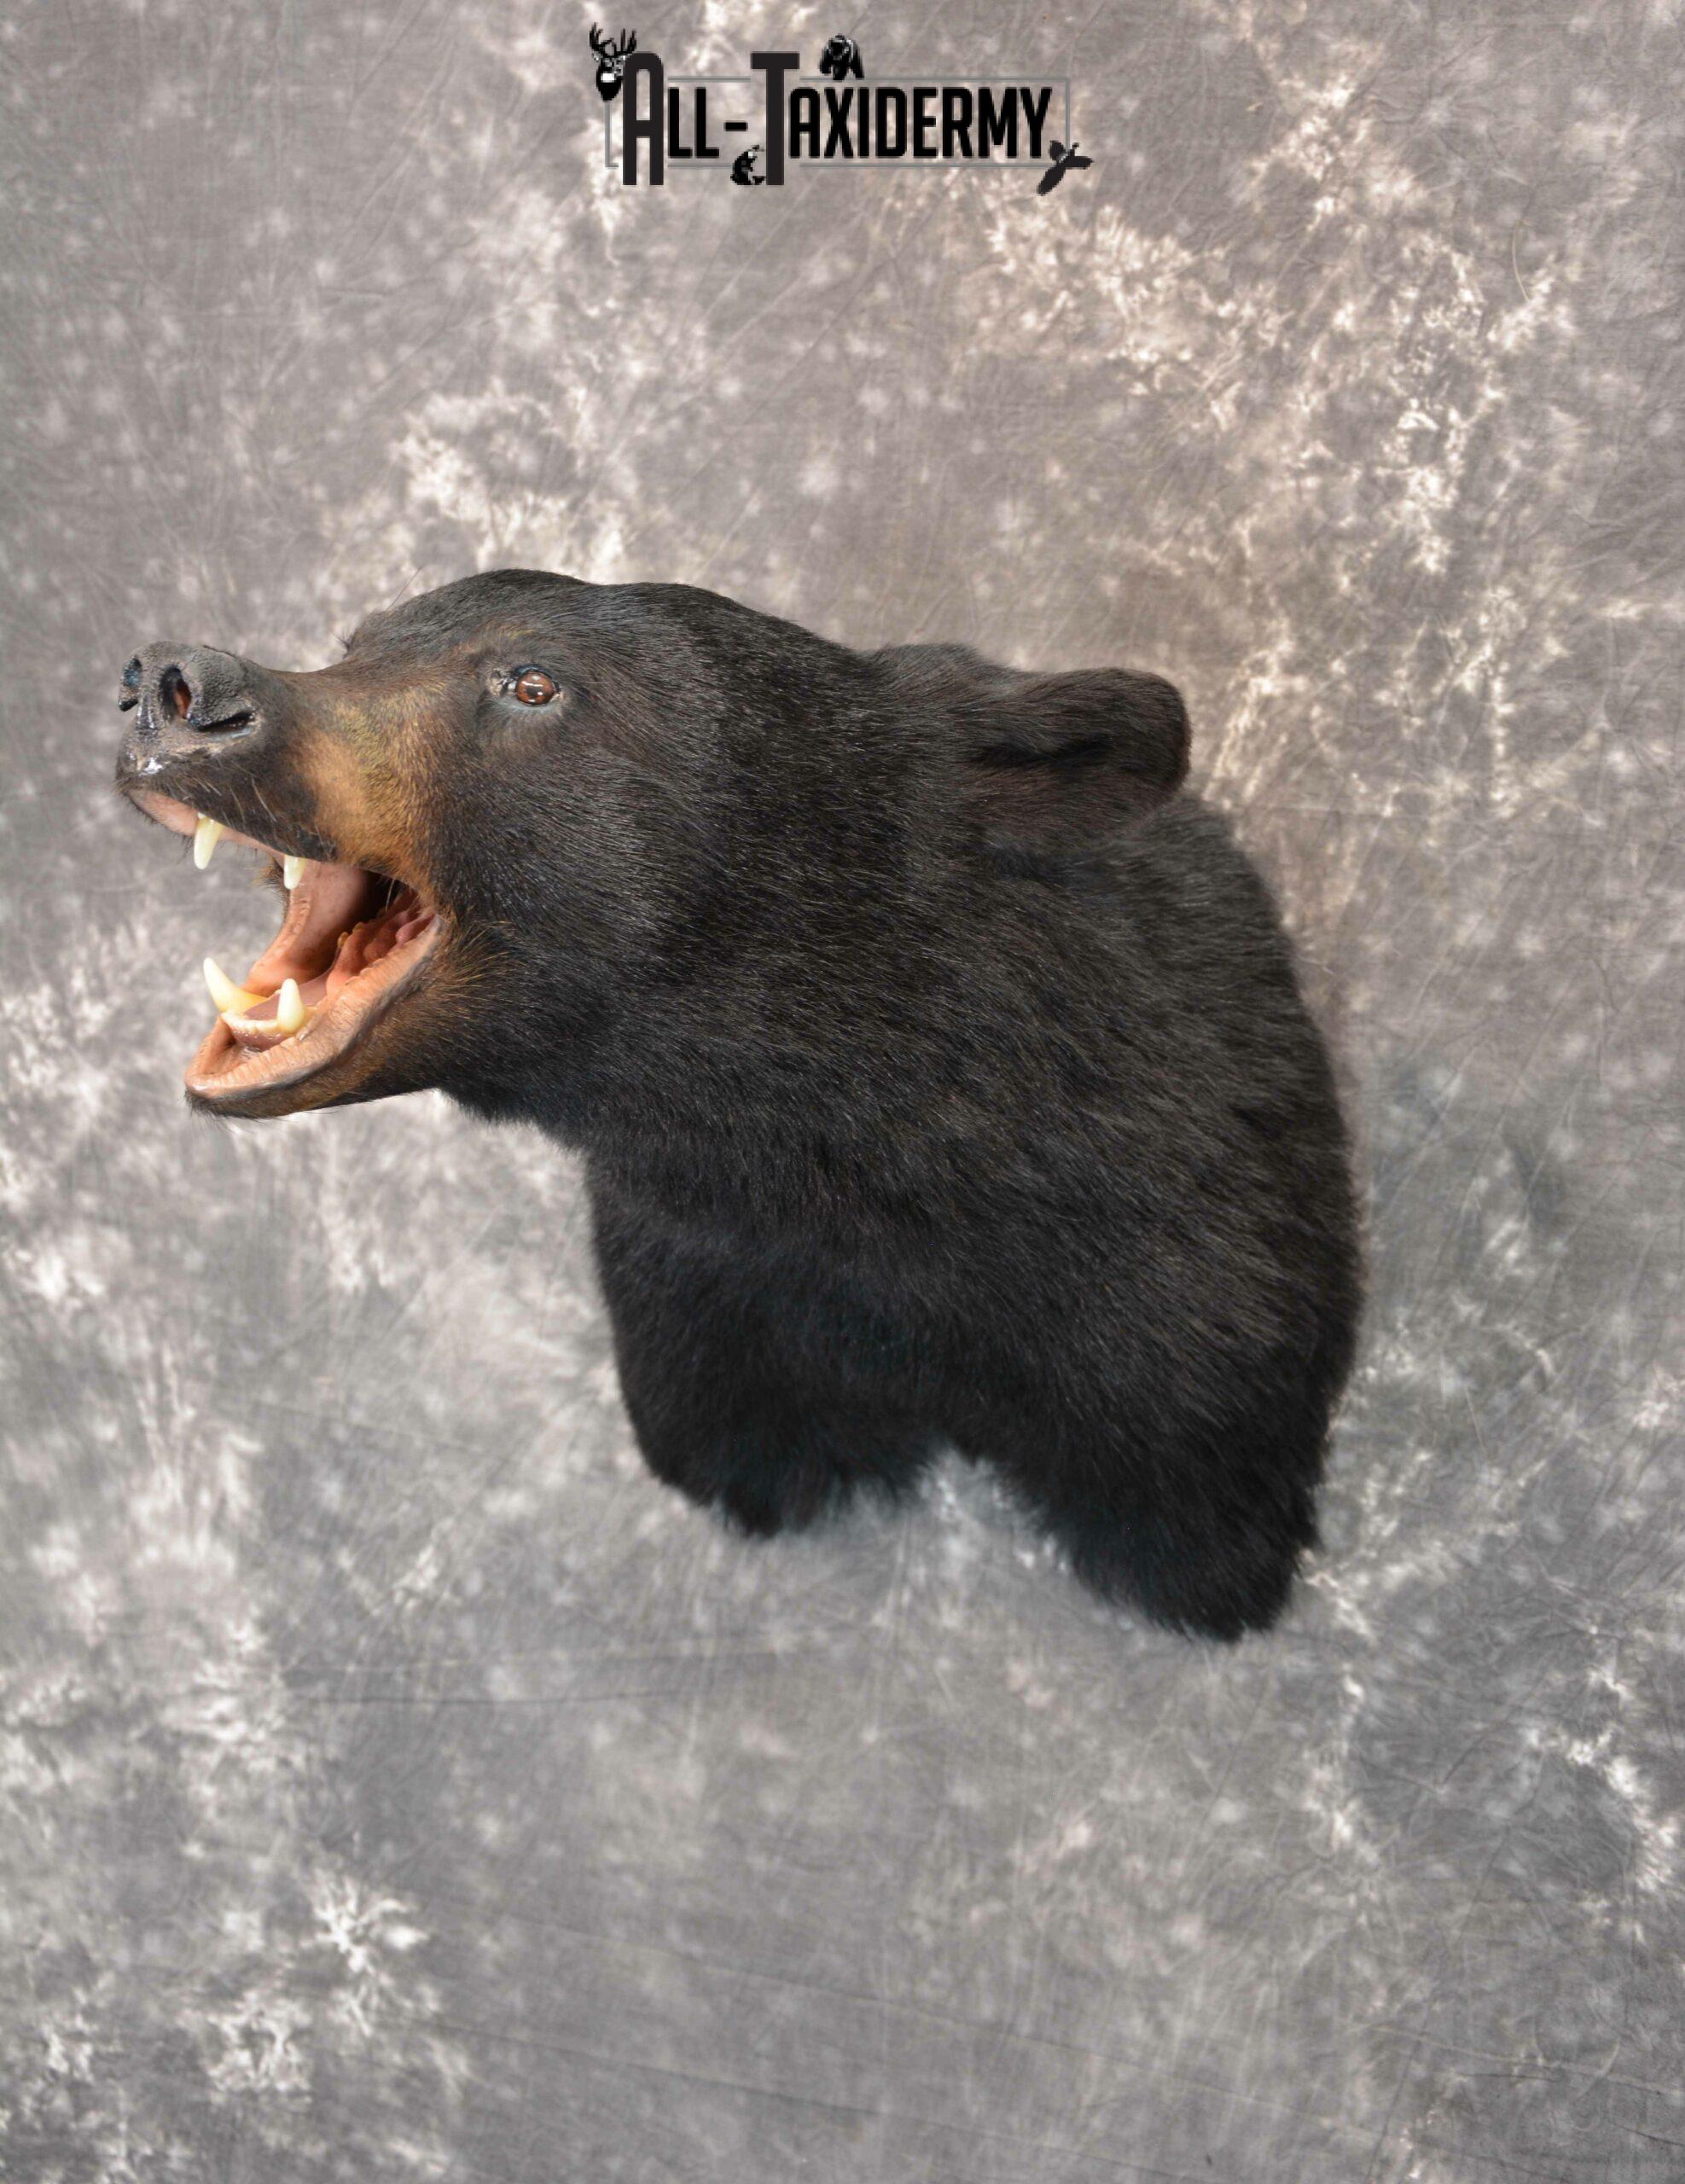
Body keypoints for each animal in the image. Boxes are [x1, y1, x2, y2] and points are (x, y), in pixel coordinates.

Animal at [115, 570, 1362, 1639]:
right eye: (357, 642)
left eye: (531, 682)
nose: (173, 685)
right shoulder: (703, 1279)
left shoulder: (1181, 1271)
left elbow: (1188, 1438)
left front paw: (1204, 1568)